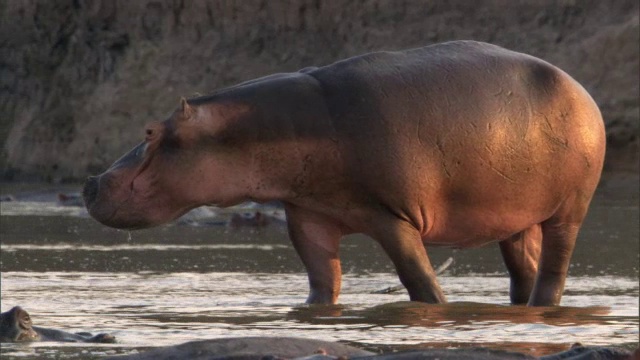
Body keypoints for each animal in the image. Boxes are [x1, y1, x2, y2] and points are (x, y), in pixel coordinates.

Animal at [84, 42, 604, 306]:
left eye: (151, 131)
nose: (89, 183)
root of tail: (579, 87)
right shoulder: (308, 214)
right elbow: (321, 277)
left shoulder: (392, 217)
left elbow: (418, 278)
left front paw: (434, 308)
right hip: (516, 218)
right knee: (524, 267)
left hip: (570, 210)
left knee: (554, 269)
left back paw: (544, 304)